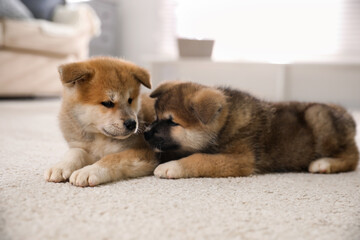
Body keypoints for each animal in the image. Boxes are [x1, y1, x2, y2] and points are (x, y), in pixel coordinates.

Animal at [145, 81, 358, 177]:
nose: (145, 133)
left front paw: (172, 167)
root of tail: (348, 116)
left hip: (318, 117)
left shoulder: (241, 160)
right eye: (156, 117)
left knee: (353, 156)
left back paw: (324, 163)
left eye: (172, 122)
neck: (225, 123)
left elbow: (200, 159)